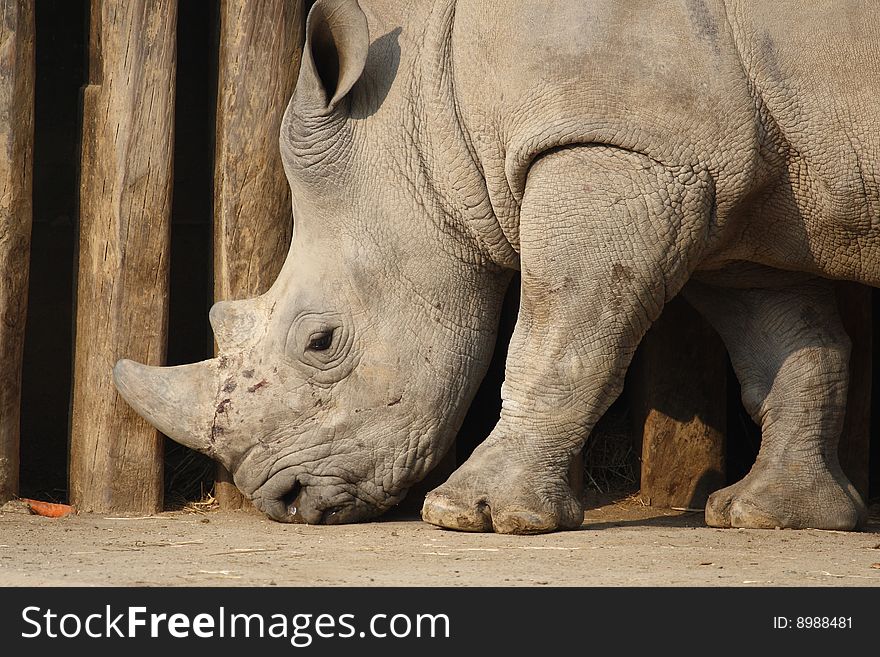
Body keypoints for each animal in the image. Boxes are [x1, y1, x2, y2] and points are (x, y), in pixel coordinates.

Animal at [113, 0, 876, 532]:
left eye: (321, 342)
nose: (282, 499)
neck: (428, 103)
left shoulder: (617, 146)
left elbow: (559, 341)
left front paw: (473, 515)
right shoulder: (730, 193)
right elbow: (789, 350)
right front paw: (773, 515)